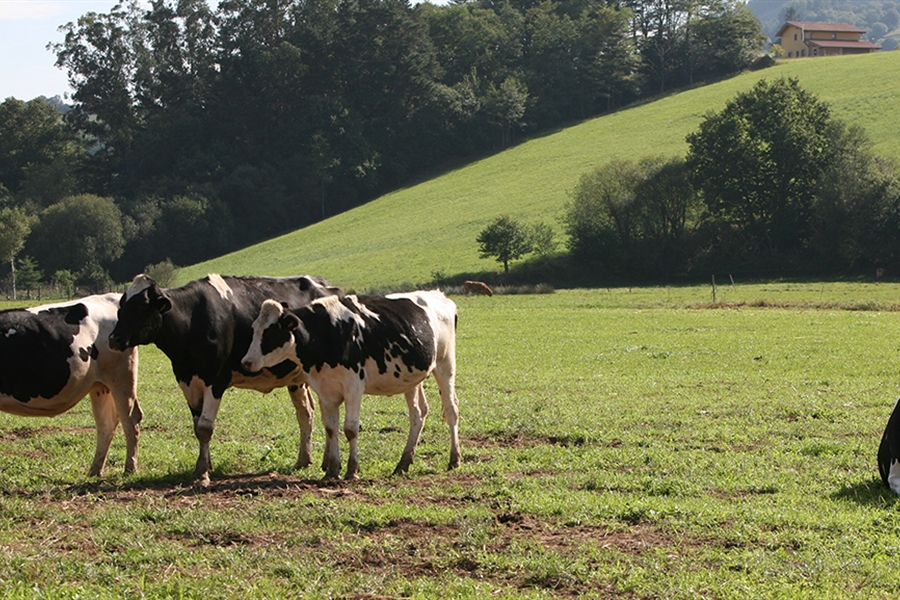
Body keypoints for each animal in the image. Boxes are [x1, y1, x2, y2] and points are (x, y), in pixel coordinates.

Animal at [0, 292, 142, 476]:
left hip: (121, 379)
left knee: (131, 420)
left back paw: (130, 468)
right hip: (100, 385)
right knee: (106, 424)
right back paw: (95, 470)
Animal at [108, 274, 342, 486]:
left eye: (141, 306)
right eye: (121, 308)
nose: (114, 339)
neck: (192, 318)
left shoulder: (216, 380)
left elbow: (205, 428)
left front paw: (202, 472)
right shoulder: (187, 381)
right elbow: (198, 426)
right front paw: (206, 464)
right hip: (297, 379)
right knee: (307, 413)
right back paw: (306, 460)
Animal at [239, 288, 460, 480]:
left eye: (271, 332)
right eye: (254, 329)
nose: (246, 362)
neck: (326, 332)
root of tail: (438, 295)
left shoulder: (354, 387)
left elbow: (350, 429)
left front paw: (352, 470)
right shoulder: (325, 388)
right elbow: (331, 428)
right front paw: (332, 471)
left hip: (445, 364)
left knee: (451, 410)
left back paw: (454, 459)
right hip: (412, 378)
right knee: (418, 414)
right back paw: (403, 463)